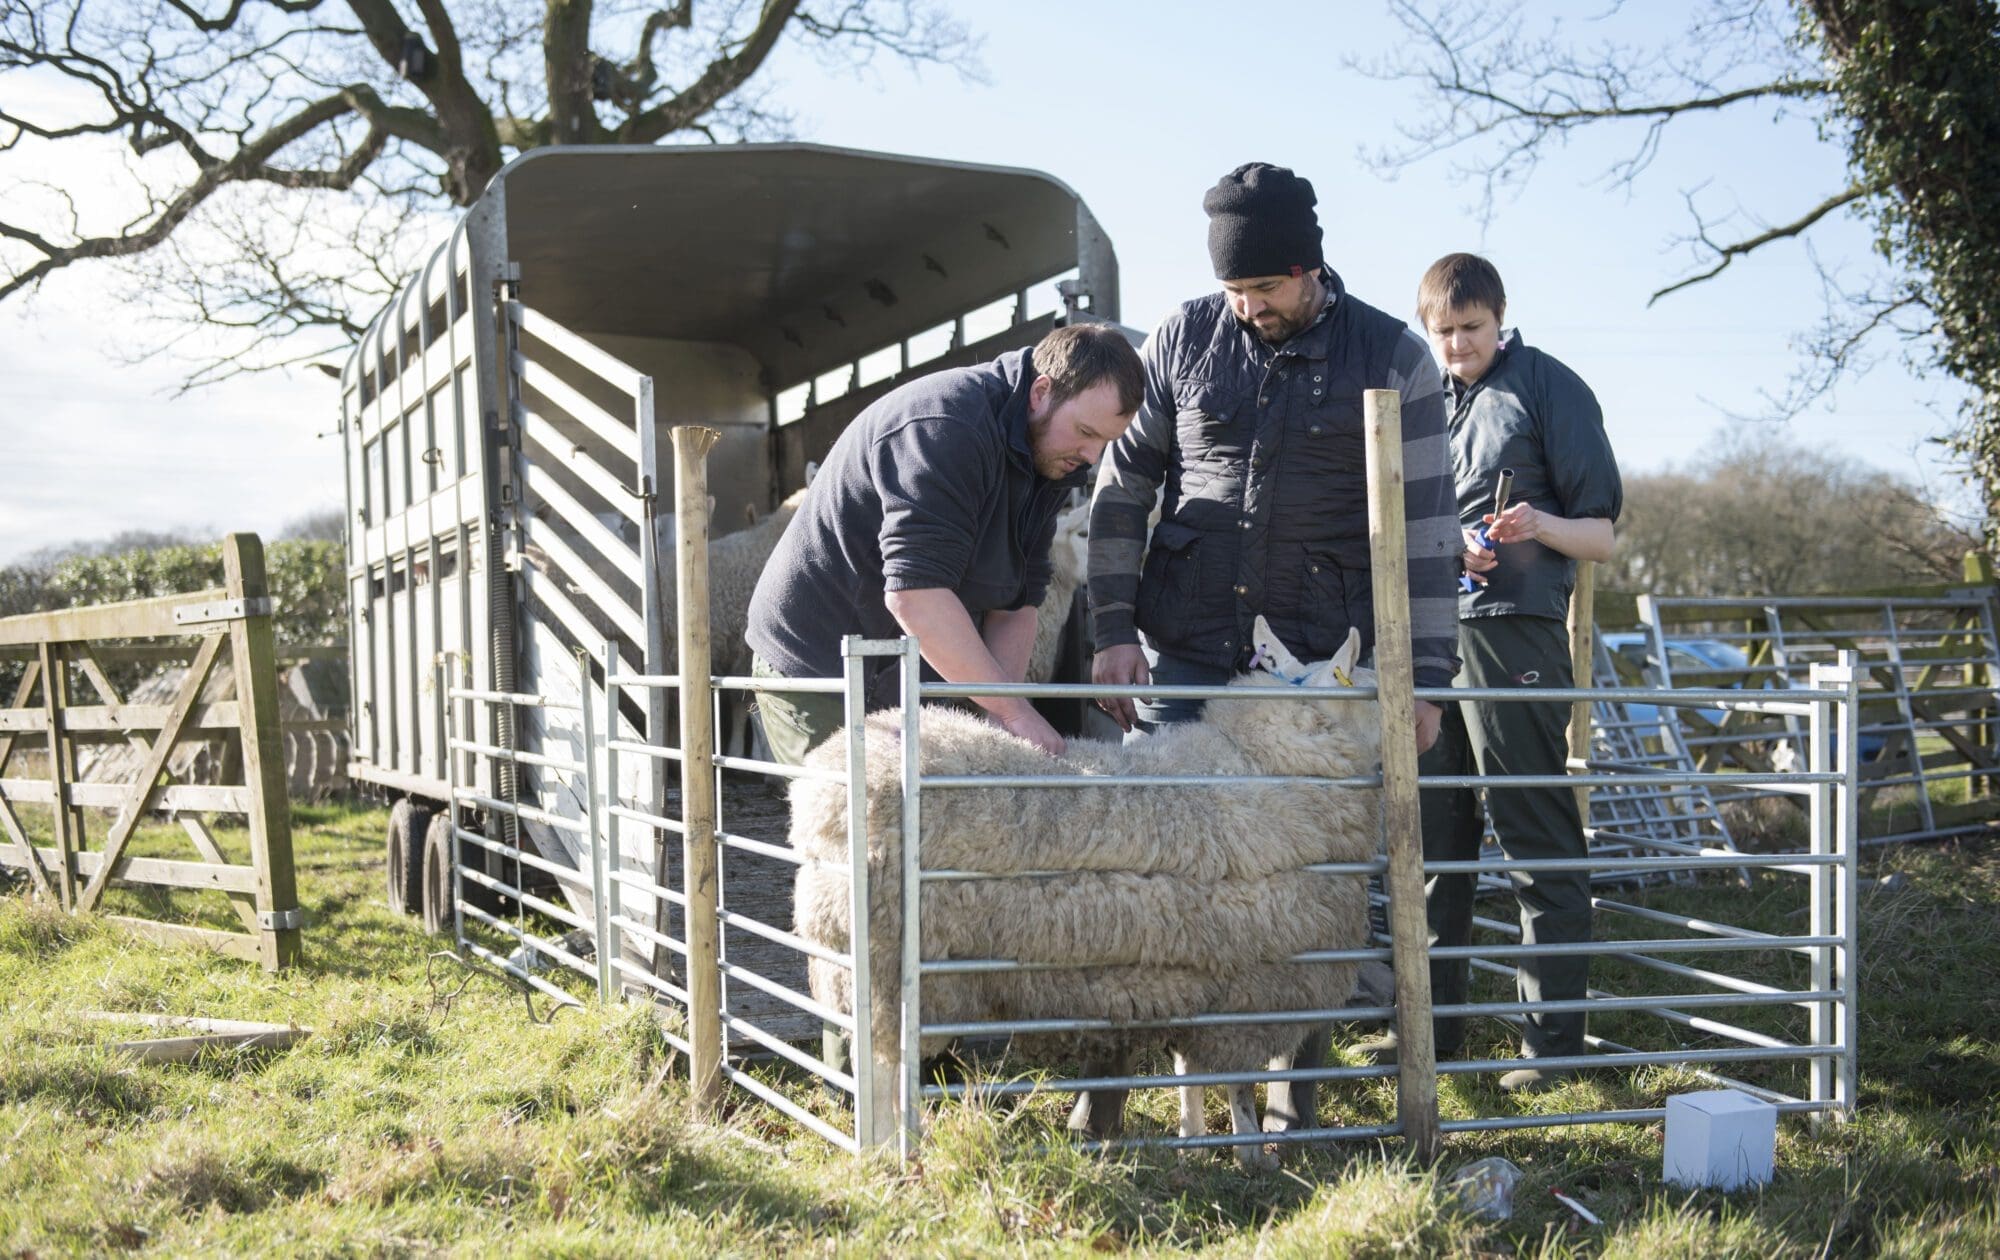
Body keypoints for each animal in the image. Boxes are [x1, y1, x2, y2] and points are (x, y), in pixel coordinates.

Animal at [790, 617, 1379, 1169]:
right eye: (1367, 684)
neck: (1266, 767)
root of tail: (826, 796)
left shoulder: (1196, 975)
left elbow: (1187, 1072)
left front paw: (1191, 1142)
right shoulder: (1248, 986)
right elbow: (1234, 1082)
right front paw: (1251, 1154)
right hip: (892, 973)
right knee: (883, 1072)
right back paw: (893, 1151)